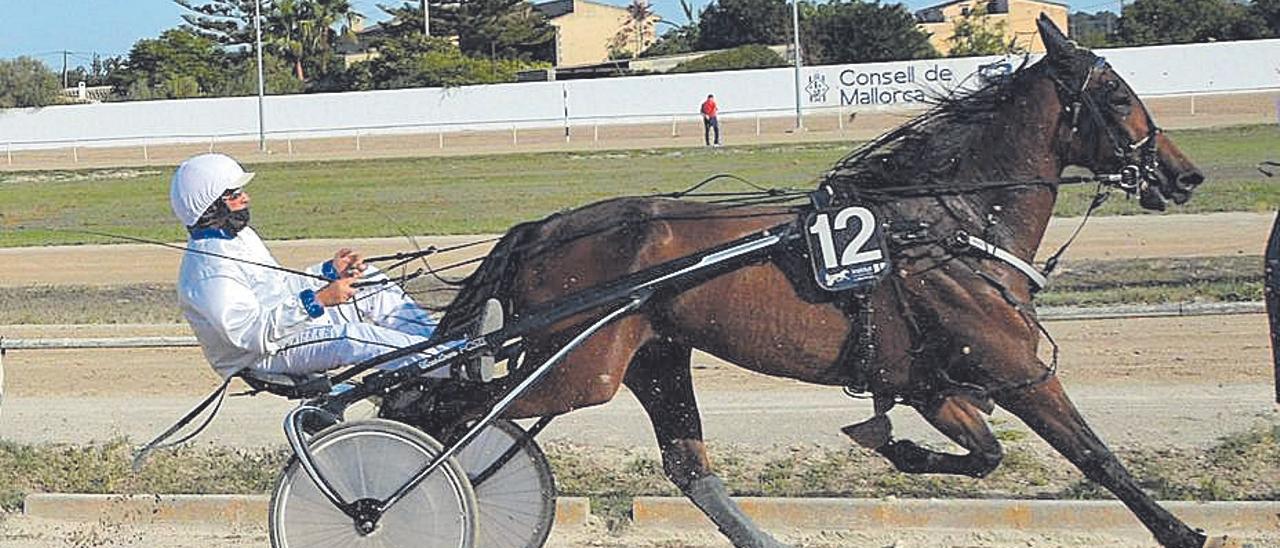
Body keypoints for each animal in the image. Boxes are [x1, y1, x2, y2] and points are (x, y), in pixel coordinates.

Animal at [430, 18, 1208, 548]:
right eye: (1117, 95)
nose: (1185, 174)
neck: (941, 221)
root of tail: (546, 227)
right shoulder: (1016, 369)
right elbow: (1096, 455)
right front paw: (1183, 532)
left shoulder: (930, 382)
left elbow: (983, 454)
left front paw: (894, 445)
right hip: (579, 370)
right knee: (448, 416)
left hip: (651, 359)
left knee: (687, 464)